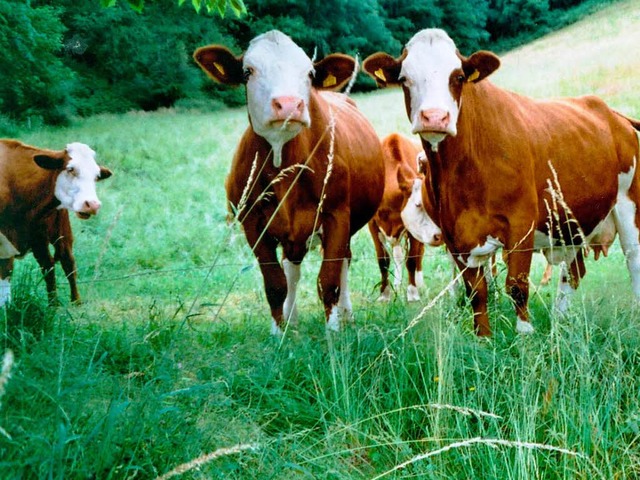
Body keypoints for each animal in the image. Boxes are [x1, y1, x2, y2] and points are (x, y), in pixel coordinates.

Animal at [0, 139, 112, 304]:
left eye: (97, 175)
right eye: (70, 169)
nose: (92, 205)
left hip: (57, 233)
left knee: (65, 263)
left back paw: (73, 303)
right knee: (49, 265)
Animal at [195, 31, 384, 336]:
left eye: (309, 73)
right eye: (247, 71)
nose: (288, 104)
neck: (284, 161)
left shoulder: (336, 216)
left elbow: (328, 280)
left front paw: (332, 331)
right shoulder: (252, 223)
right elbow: (275, 283)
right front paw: (278, 331)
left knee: (343, 260)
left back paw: (346, 315)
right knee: (292, 269)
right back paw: (291, 318)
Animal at [362, 28, 640, 336]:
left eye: (458, 77)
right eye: (404, 79)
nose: (434, 117)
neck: (463, 171)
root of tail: (614, 115)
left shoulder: (521, 224)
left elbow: (517, 285)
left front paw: (525, 334)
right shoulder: (454, 235)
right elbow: (476, 291)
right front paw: (483, 336)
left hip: (628, 205)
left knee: (634, 261)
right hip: (571, 222)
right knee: (573, 271)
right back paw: (559, 320)